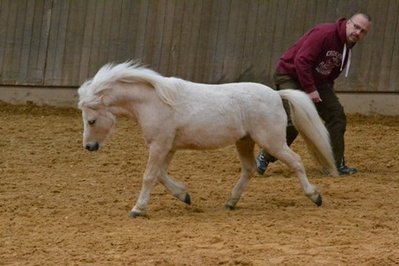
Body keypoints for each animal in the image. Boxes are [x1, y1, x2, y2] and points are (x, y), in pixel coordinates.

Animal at [77, 62, 338, 218]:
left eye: (91, 120)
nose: (89, 147)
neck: (155, 101)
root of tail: (276, 94)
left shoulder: (159, 145)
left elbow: (149, 176)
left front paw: (137, 209)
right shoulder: (168, 147)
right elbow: (161, 175)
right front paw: (184, 196)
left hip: (272, 141)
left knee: (296, 162)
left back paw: (315, 196)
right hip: (244, 141)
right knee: (249, 169)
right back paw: (231, 202)